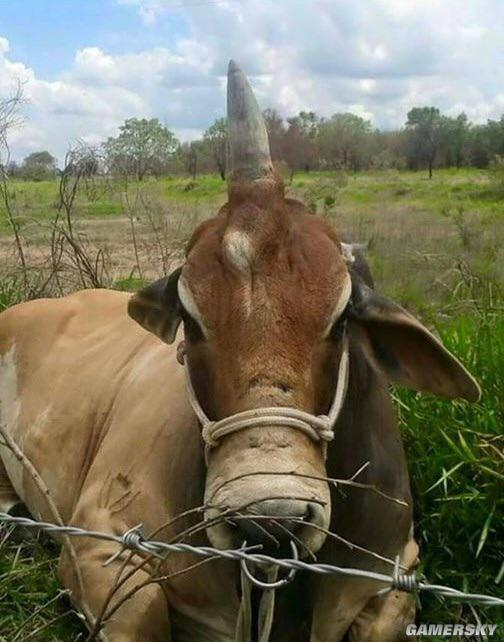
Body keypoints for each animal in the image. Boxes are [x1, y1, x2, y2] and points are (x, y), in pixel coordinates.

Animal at [0, 61, 480, 640]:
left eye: (342, 317)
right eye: (190, 319)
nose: (269, 510)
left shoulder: (397, 570)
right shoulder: (98, 544)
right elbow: (141, 608)